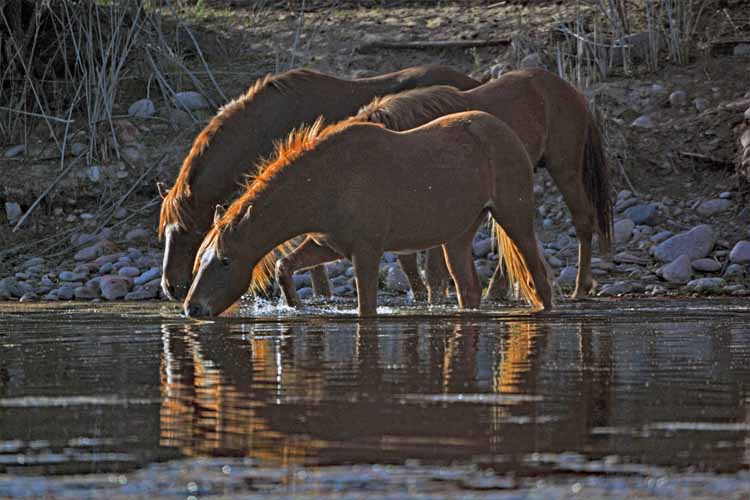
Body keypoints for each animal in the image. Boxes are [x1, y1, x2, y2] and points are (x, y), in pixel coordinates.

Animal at [185, 112, 556, 318]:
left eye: (225, 261)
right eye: (199, 259)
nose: (192, 308)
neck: (327, 181)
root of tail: (506, 132)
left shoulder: (366, 252)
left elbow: (366, 308)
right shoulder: (329, 244)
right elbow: (284, 266)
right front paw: (296, 306)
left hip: (515, 216)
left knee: (539, 277)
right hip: (459, 235)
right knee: (469, 290)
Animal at [274, 67, 612, 300]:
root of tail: (574, 93)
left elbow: (431, 270)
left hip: (564, 169)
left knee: (582, 221)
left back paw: (580, 288)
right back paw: (499, 290)